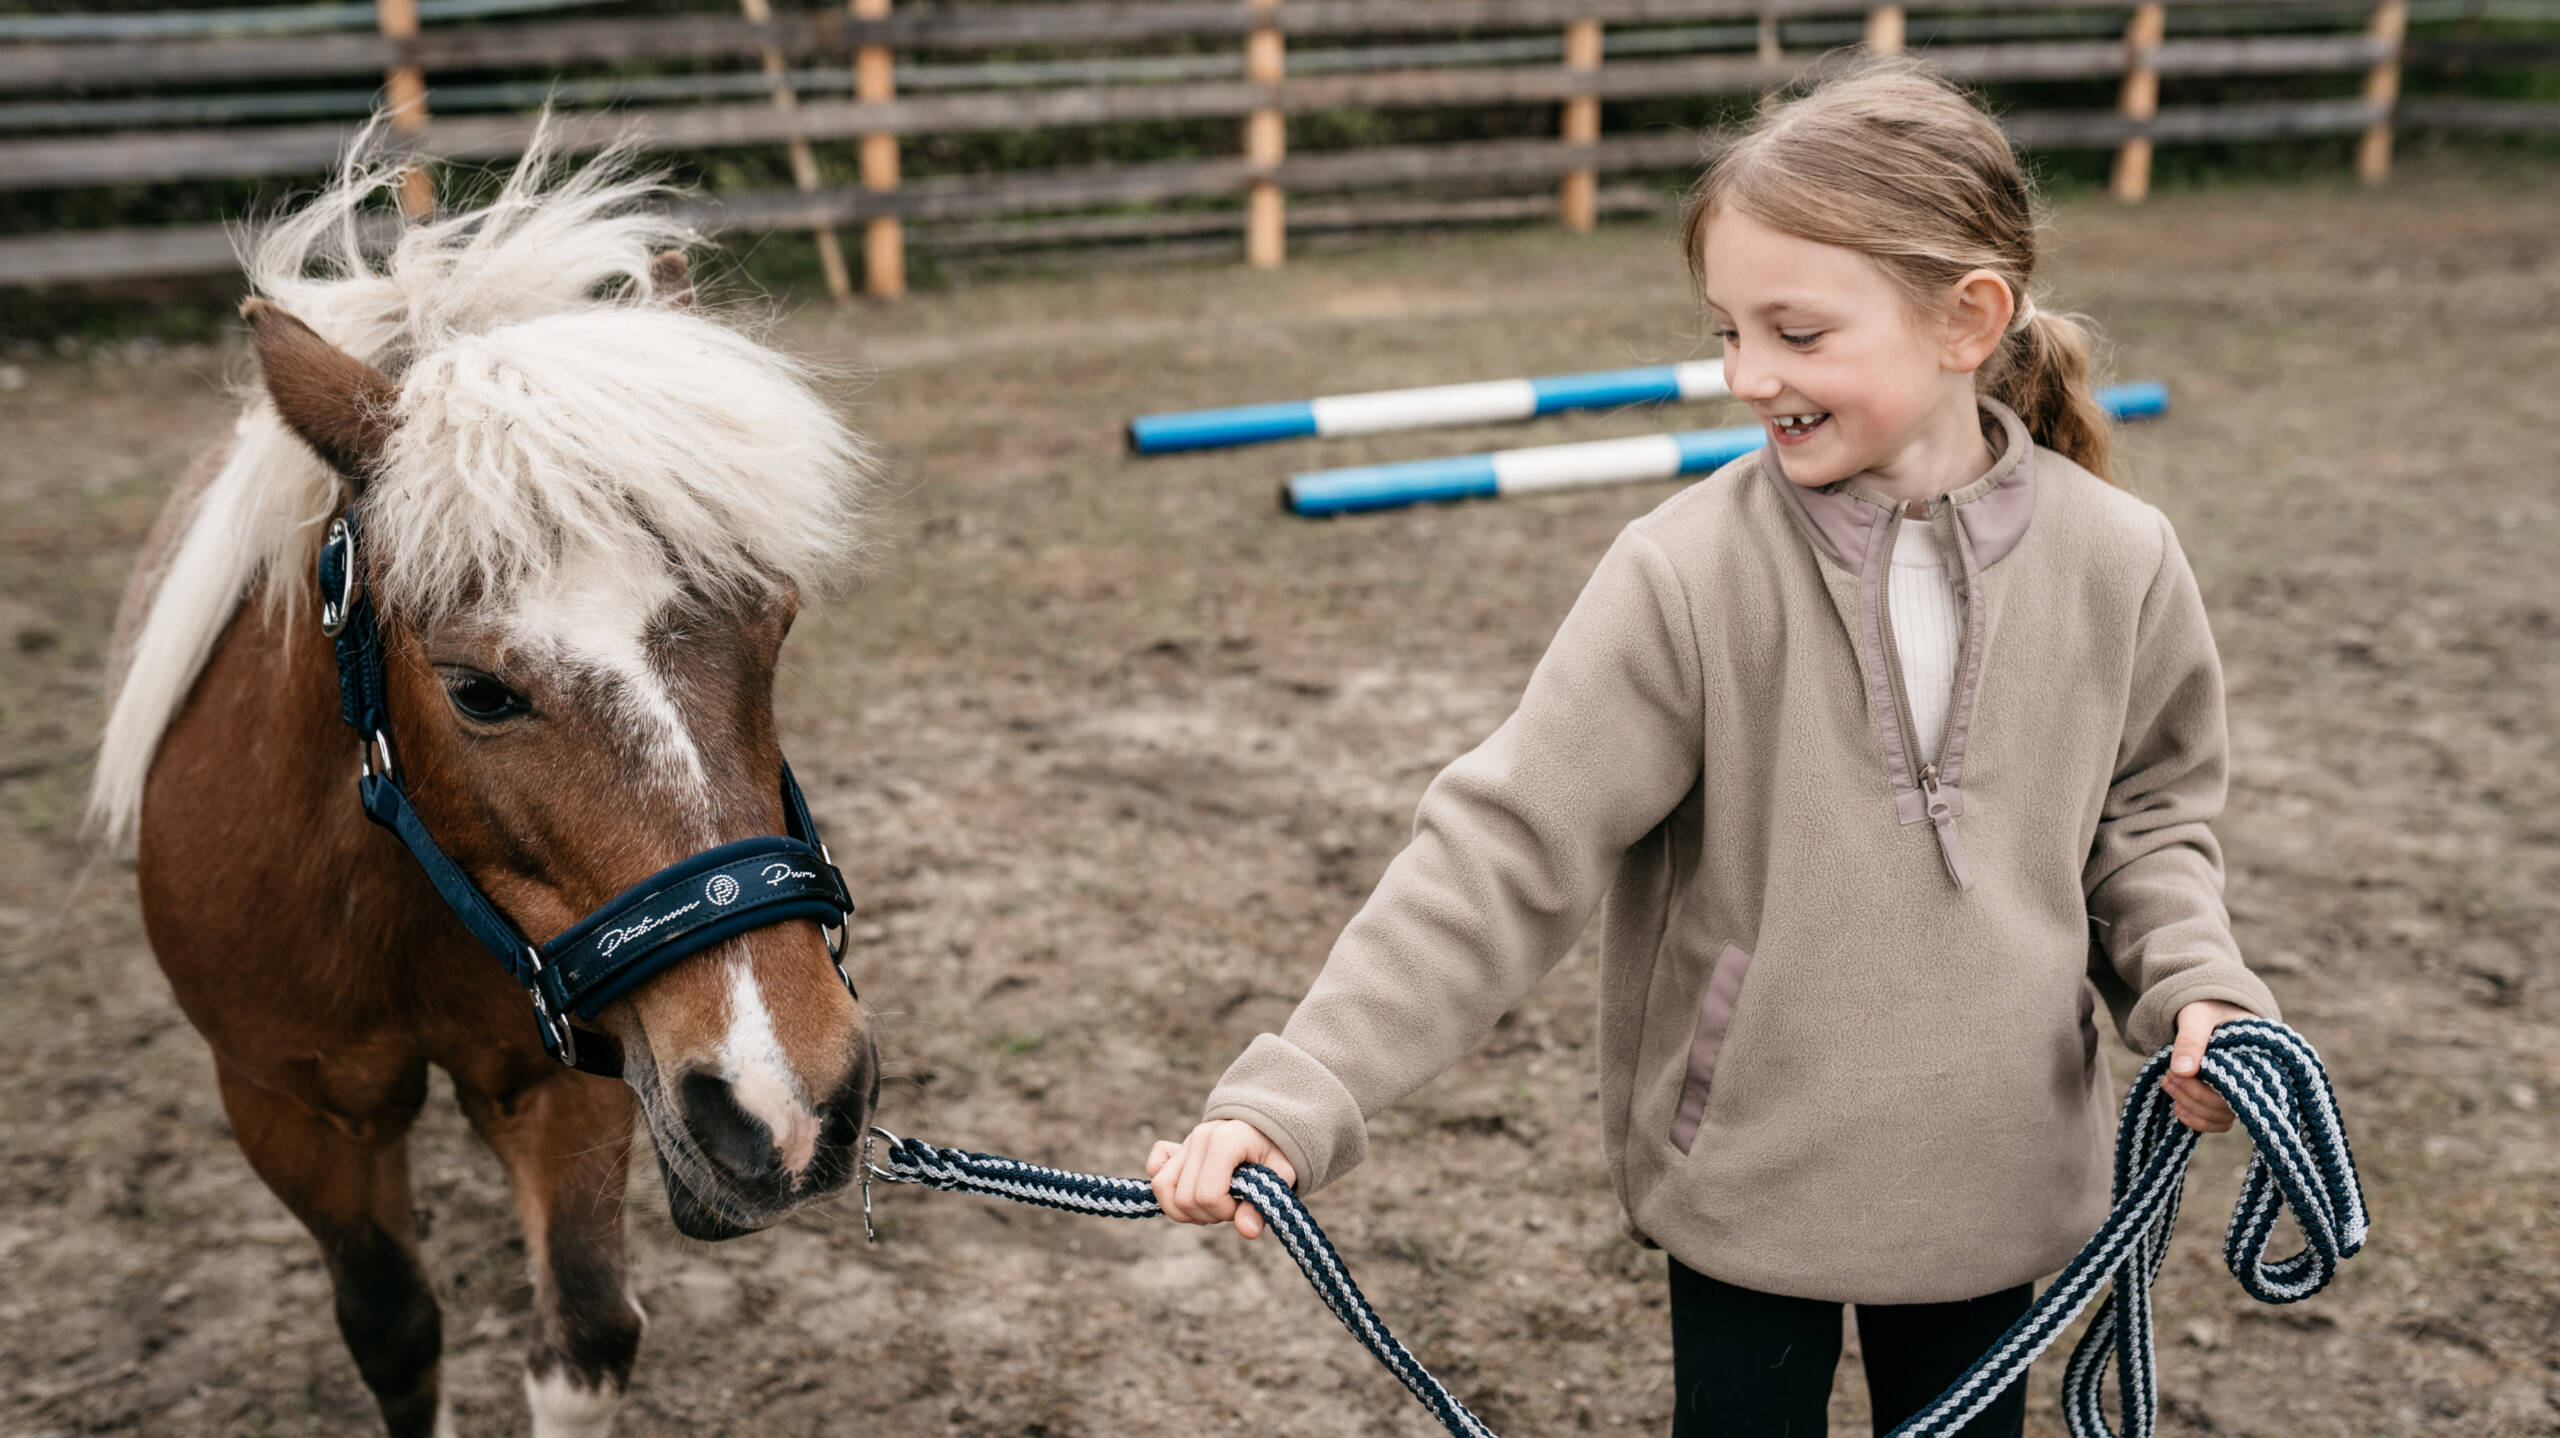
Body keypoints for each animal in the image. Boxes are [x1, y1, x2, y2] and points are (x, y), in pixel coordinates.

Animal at [90, 136, 880, 1438]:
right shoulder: (293, 1109)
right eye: (477, 691)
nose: (791, 1106)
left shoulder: (572, 1075)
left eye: (777, 624)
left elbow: (585, 1335)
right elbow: (396, 1334)